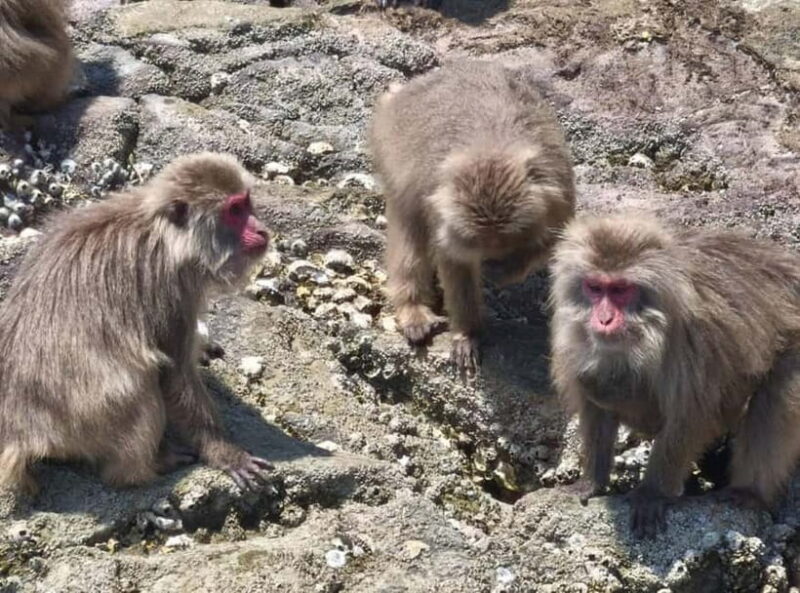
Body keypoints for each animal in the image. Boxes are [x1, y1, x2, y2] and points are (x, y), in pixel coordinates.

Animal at [0, 152, 273, 495]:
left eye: (247, 204)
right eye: (235, 211)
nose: (262, 231)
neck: (169, 237)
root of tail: (22, 432)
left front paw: (203, 344)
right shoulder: (168, 288)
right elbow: (174, 375)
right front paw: (224, 452)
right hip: (84, 426)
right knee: (138, 380)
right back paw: (142, 468)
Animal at [369, 60, 575, 371]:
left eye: (504, 242)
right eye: (482, 242)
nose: (494, 258)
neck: (491, 146)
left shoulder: (557, 195)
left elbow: (552, 241)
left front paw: (507, 269)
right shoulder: (444, 212)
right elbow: (454, 261)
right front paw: (467, 332)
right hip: (390, 148)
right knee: (409, 229)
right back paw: (413, 309)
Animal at [549, 214, 800, 538]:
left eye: (619, 289)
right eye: (595, 287)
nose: (603, 319)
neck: (646, 331)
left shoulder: (694, 335)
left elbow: (690, 414)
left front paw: (652, 492)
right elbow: (595, 401)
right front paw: (592, 481)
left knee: (775, 402)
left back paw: (749, 491)